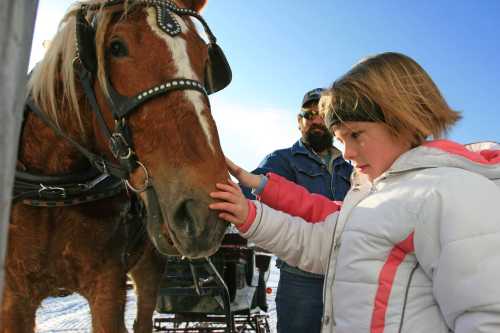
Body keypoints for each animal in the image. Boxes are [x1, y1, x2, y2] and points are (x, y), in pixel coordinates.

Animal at [0, 0, 230, 332]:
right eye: (116, 47)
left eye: (203, 55)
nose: (204, 212)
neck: (53, 190)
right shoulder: (14, 295)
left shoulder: (108, 285)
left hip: (150, 268)